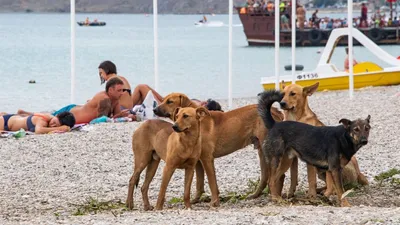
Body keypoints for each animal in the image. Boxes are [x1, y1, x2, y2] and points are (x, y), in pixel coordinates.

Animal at [153, 92, 284, 205]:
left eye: (169, 101)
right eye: (163, 99)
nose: (154, 110)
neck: (197, 122)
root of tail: (274, 111)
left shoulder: (207, 158)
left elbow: (211, 182)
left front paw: (214, 202)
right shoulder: (198, 161)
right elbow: (199, 183)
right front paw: (196, 200)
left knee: (276, 175)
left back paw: (276, 196)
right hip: (261, 151)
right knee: (266, 176)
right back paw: (257, 195)